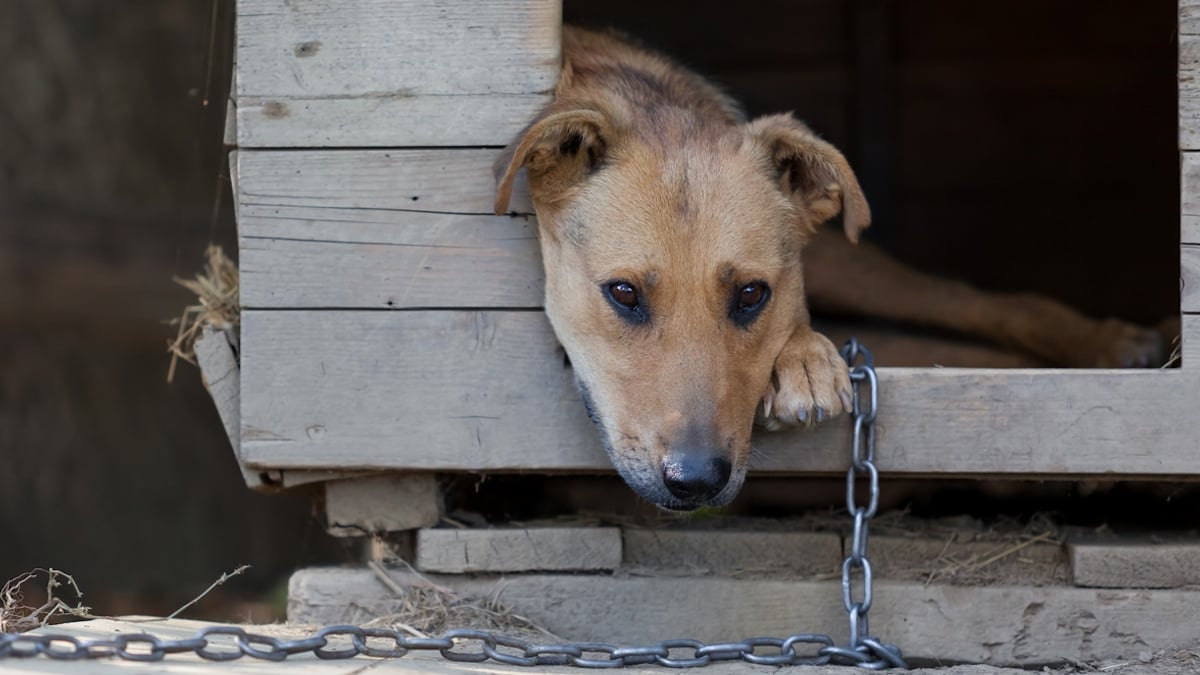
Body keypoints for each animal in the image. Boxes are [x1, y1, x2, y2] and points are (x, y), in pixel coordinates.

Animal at [492, 26, 1166, 509]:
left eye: (752, 293)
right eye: (623, 294)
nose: (697, 481)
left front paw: (805, 358)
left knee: (976, 305)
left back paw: (1113, 349)